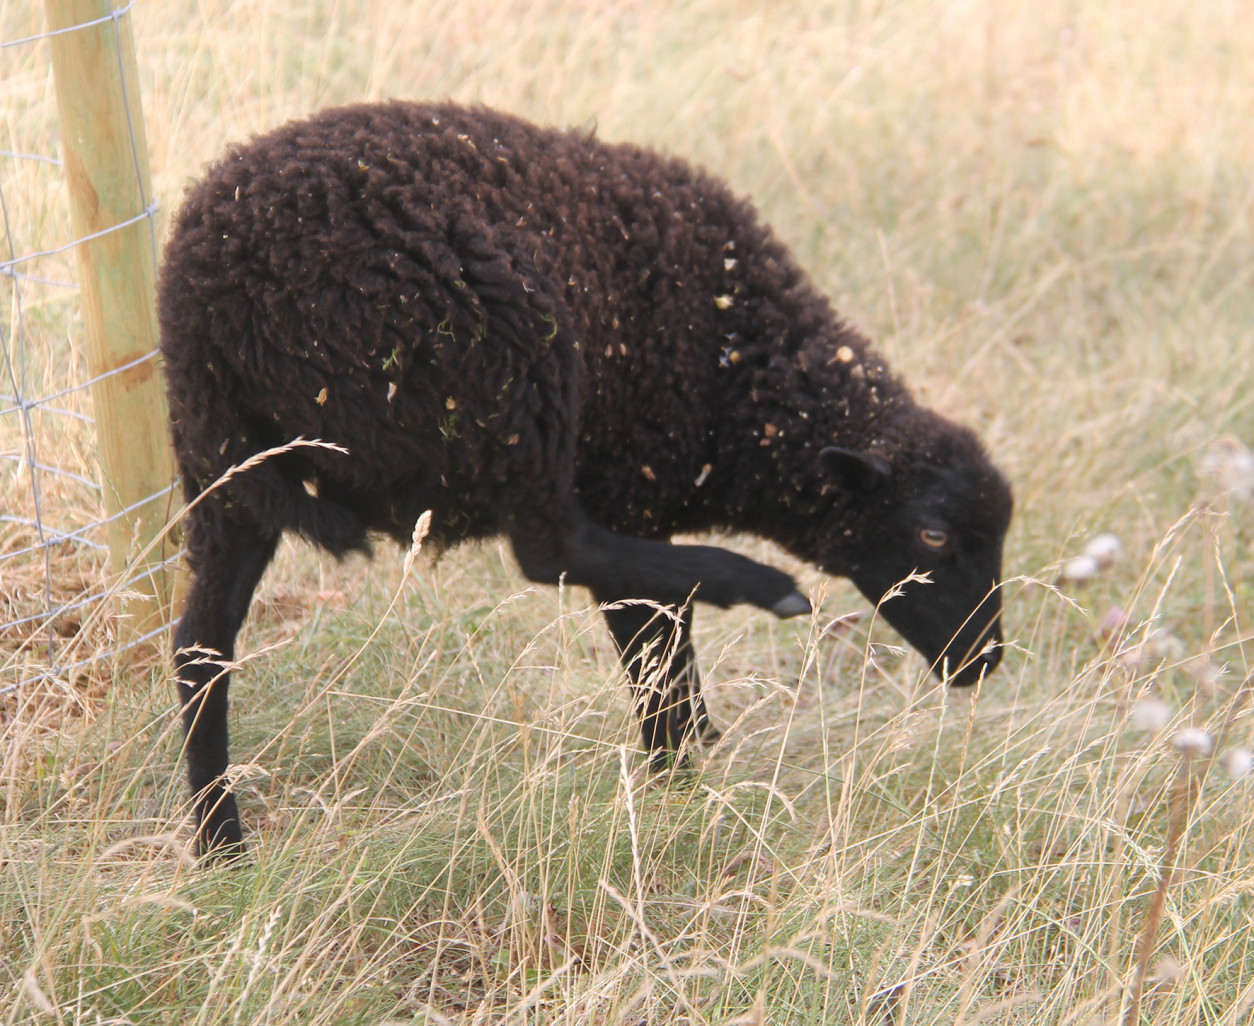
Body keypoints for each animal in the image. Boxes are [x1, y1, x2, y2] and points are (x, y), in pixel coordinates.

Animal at [161, 102, 1013, 857]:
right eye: (931, 533)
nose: (984, 661)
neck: (744, 380)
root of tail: (209, 309)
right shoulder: (630, 487)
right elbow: (655, 649)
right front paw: (682, 774)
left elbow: (662, 647)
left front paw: (689, 758)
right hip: (506, 376)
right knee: (552, 548)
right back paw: (761, 586)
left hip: (228, 479)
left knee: (200, 649)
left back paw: (221, 845)